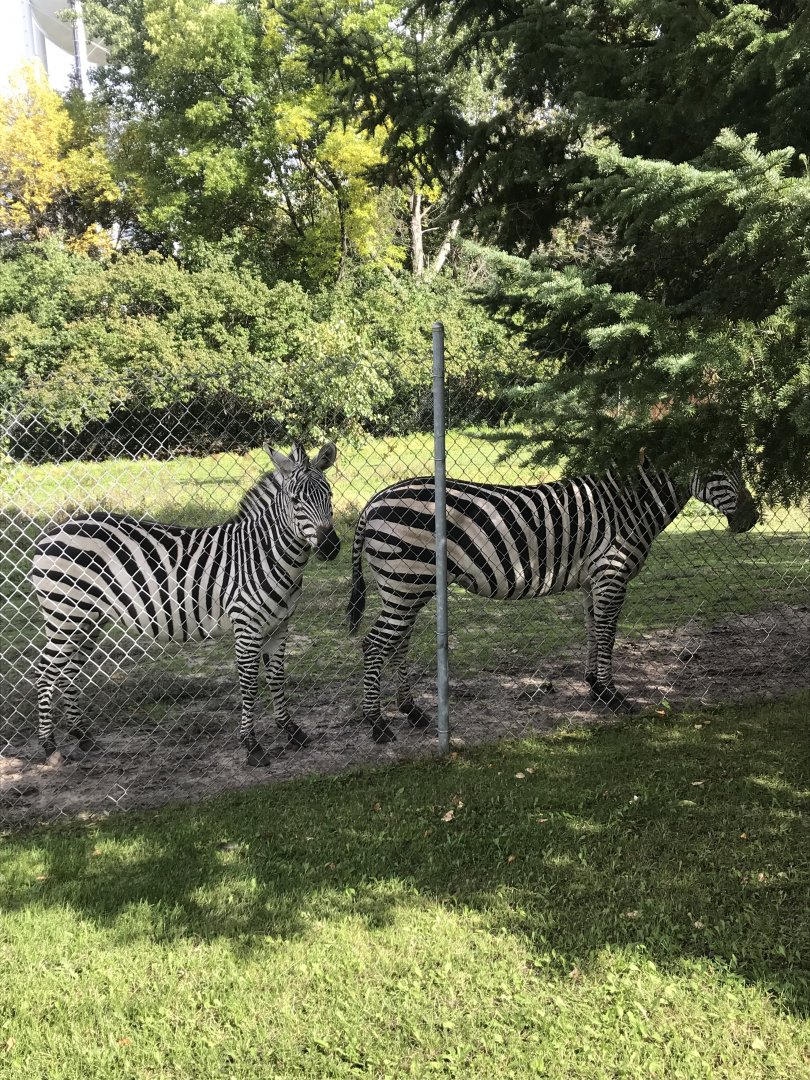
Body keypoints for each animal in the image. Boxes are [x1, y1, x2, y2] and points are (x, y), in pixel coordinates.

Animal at [29, 442, 339, 767]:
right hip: (65, 616)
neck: (262, 554)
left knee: (67, 672)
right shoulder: (247, 628)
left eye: (329, 494)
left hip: (87, 620)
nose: (330, 547)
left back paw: (82, 737)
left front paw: (291, 731)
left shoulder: (279, 626)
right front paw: (252, 745)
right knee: (44, 671)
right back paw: (50, 747)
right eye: (295, 500)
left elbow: (277, 678)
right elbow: (249, 684)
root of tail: (53, 531)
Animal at [347, 465, 759, 743]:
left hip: (410, 586)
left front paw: (594, 686)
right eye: (717, 467)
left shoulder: (593, 579)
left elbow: (594, 628)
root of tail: (372, 502)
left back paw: (412, 712)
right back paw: (377, 724)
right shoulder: (611, 574)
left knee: (398, 641)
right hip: (406, 581)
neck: (630, 504)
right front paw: (612, 696)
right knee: (375, 644)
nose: (751, 518)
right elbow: (608, 632)